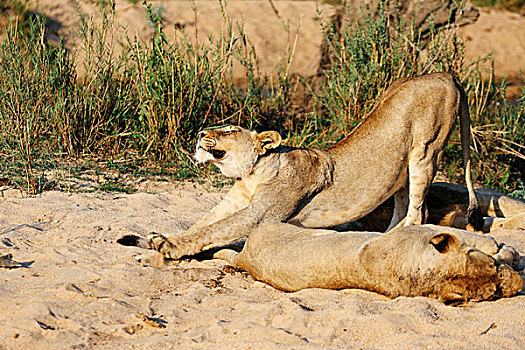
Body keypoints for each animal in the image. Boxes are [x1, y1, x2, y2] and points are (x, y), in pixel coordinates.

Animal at [212, 224, 520, 304]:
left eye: (494, 292)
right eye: (491, 268)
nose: (520, 284)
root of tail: (246, 257)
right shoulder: (420, 229)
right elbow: (476, 238)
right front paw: (509, 251)